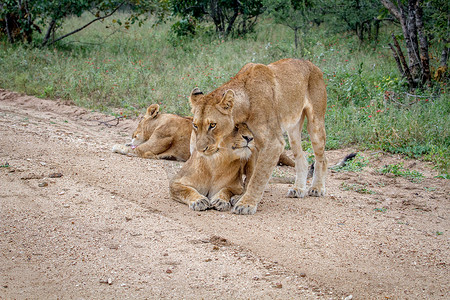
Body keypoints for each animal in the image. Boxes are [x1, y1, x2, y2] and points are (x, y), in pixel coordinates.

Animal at [189, 58, 326, 216]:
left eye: (212, 125)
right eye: (195, 125)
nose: (200, 149)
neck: (245, 102)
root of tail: (310, 63)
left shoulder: (273, 142)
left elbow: (258, 176)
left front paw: (246, 204)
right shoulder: (254, 143)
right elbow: (251, 174)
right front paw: (242, 197)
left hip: (315, 123)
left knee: (322, 158)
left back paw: (317, 188)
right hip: (293, 129)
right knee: (301, 158)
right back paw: (298, 189)